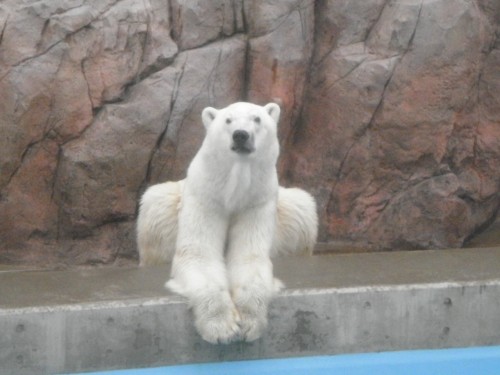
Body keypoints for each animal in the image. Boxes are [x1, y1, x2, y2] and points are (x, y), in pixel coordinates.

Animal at [137, 102, 316, 344]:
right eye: (228, 120)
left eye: (257, 119)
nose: (241, 135)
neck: (234, 189)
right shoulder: (205, 194)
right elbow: (198, 255)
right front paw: (222, 328)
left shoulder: (258, 199)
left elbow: (249, 256)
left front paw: (249, 322)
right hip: (164, 208)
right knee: (155, 207)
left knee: (302, 208)